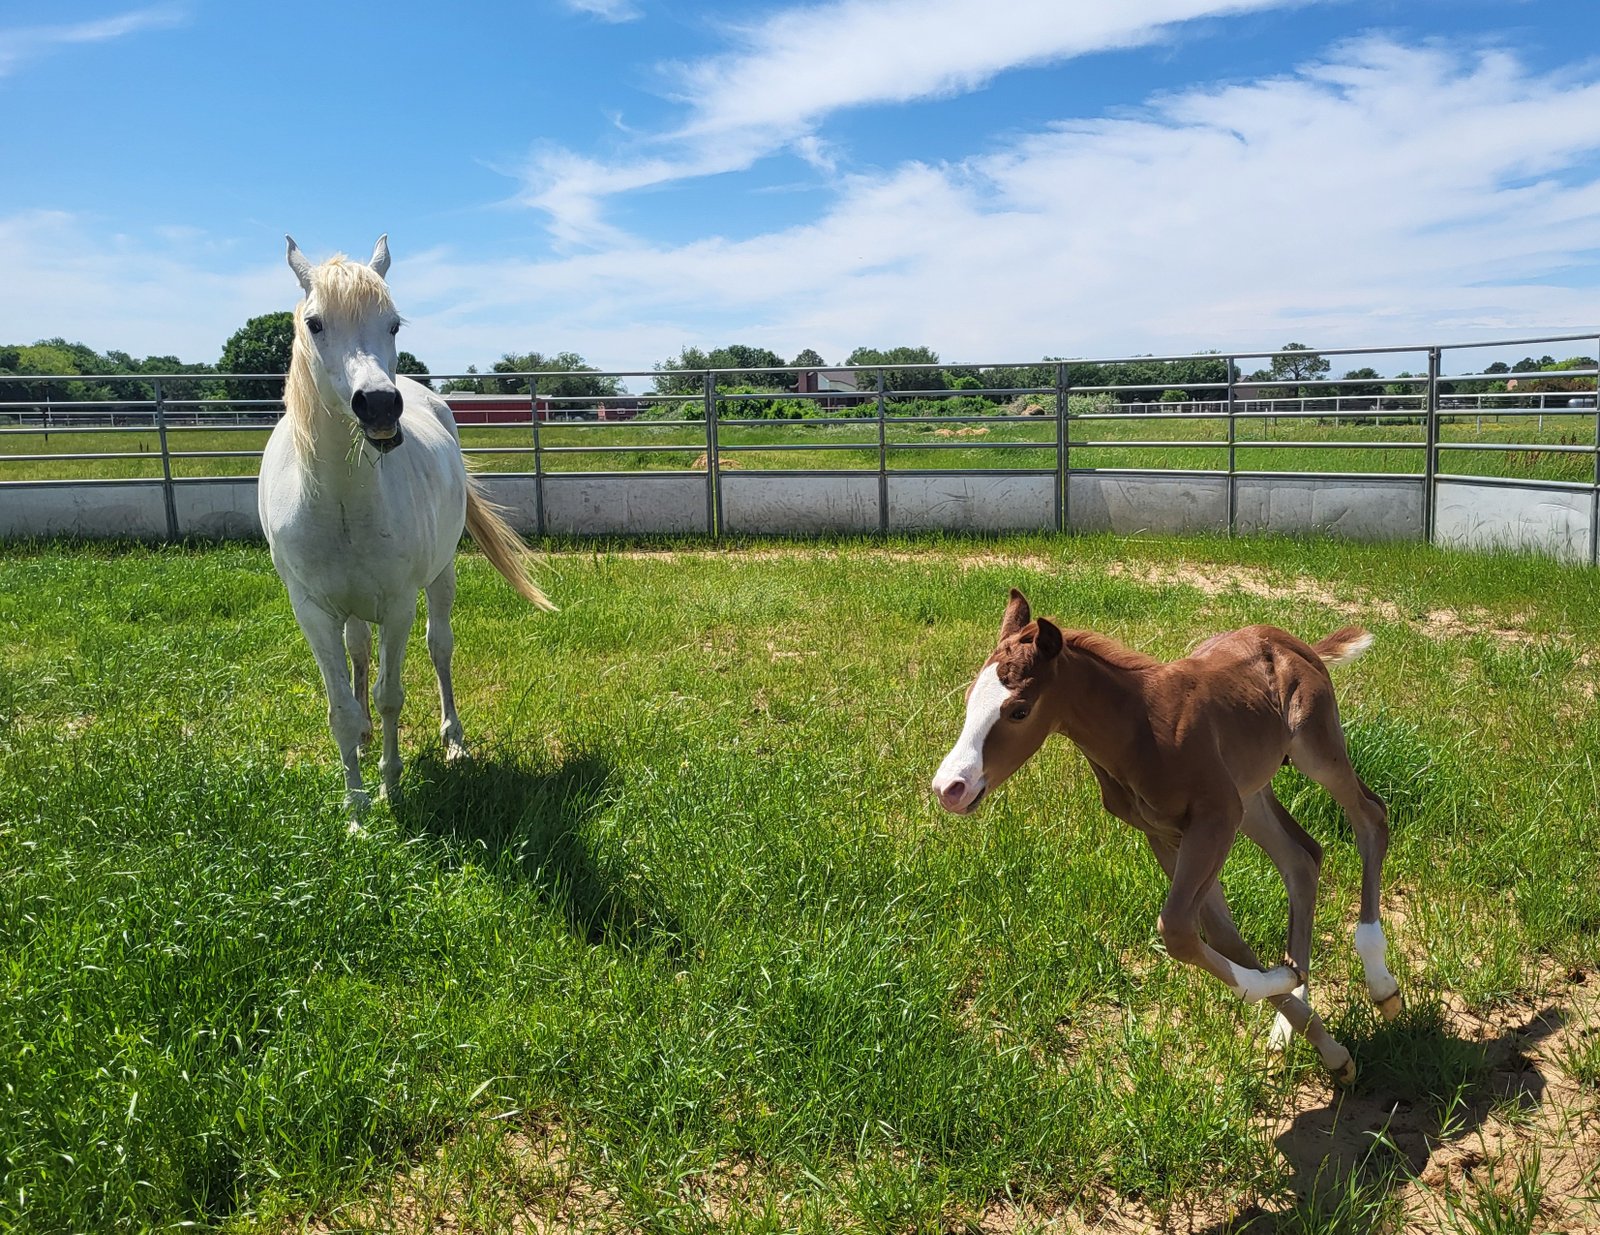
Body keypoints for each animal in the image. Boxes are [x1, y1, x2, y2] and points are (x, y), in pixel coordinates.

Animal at [259, 235, 554, 814]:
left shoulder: (397, 605)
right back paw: (365, 740)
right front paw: (355, 807)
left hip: (440, 578)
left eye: (393, 324)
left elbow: (390, 696)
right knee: (358, 654)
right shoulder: (312, 611)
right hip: (351, 610)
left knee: (439, 648)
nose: (378, 405)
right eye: (315, 323)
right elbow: (341, 707)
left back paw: (454, 741)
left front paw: (390, 786)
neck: (342, 502)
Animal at [931, 589, 1401, 1084]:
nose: (949, 788)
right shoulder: (1166, 833)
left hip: (1314, 750)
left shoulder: (1214, 817)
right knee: (1301, 857)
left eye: (1018, 711)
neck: (1140, 729)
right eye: (969, 700)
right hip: (1250, 794)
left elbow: (1176, 929)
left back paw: (1382, 984)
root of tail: (1293, 641)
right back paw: (1289, 1022)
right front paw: (1324, 1040)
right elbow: (1218, 934)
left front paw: (1288, 984)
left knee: (1371, 816)